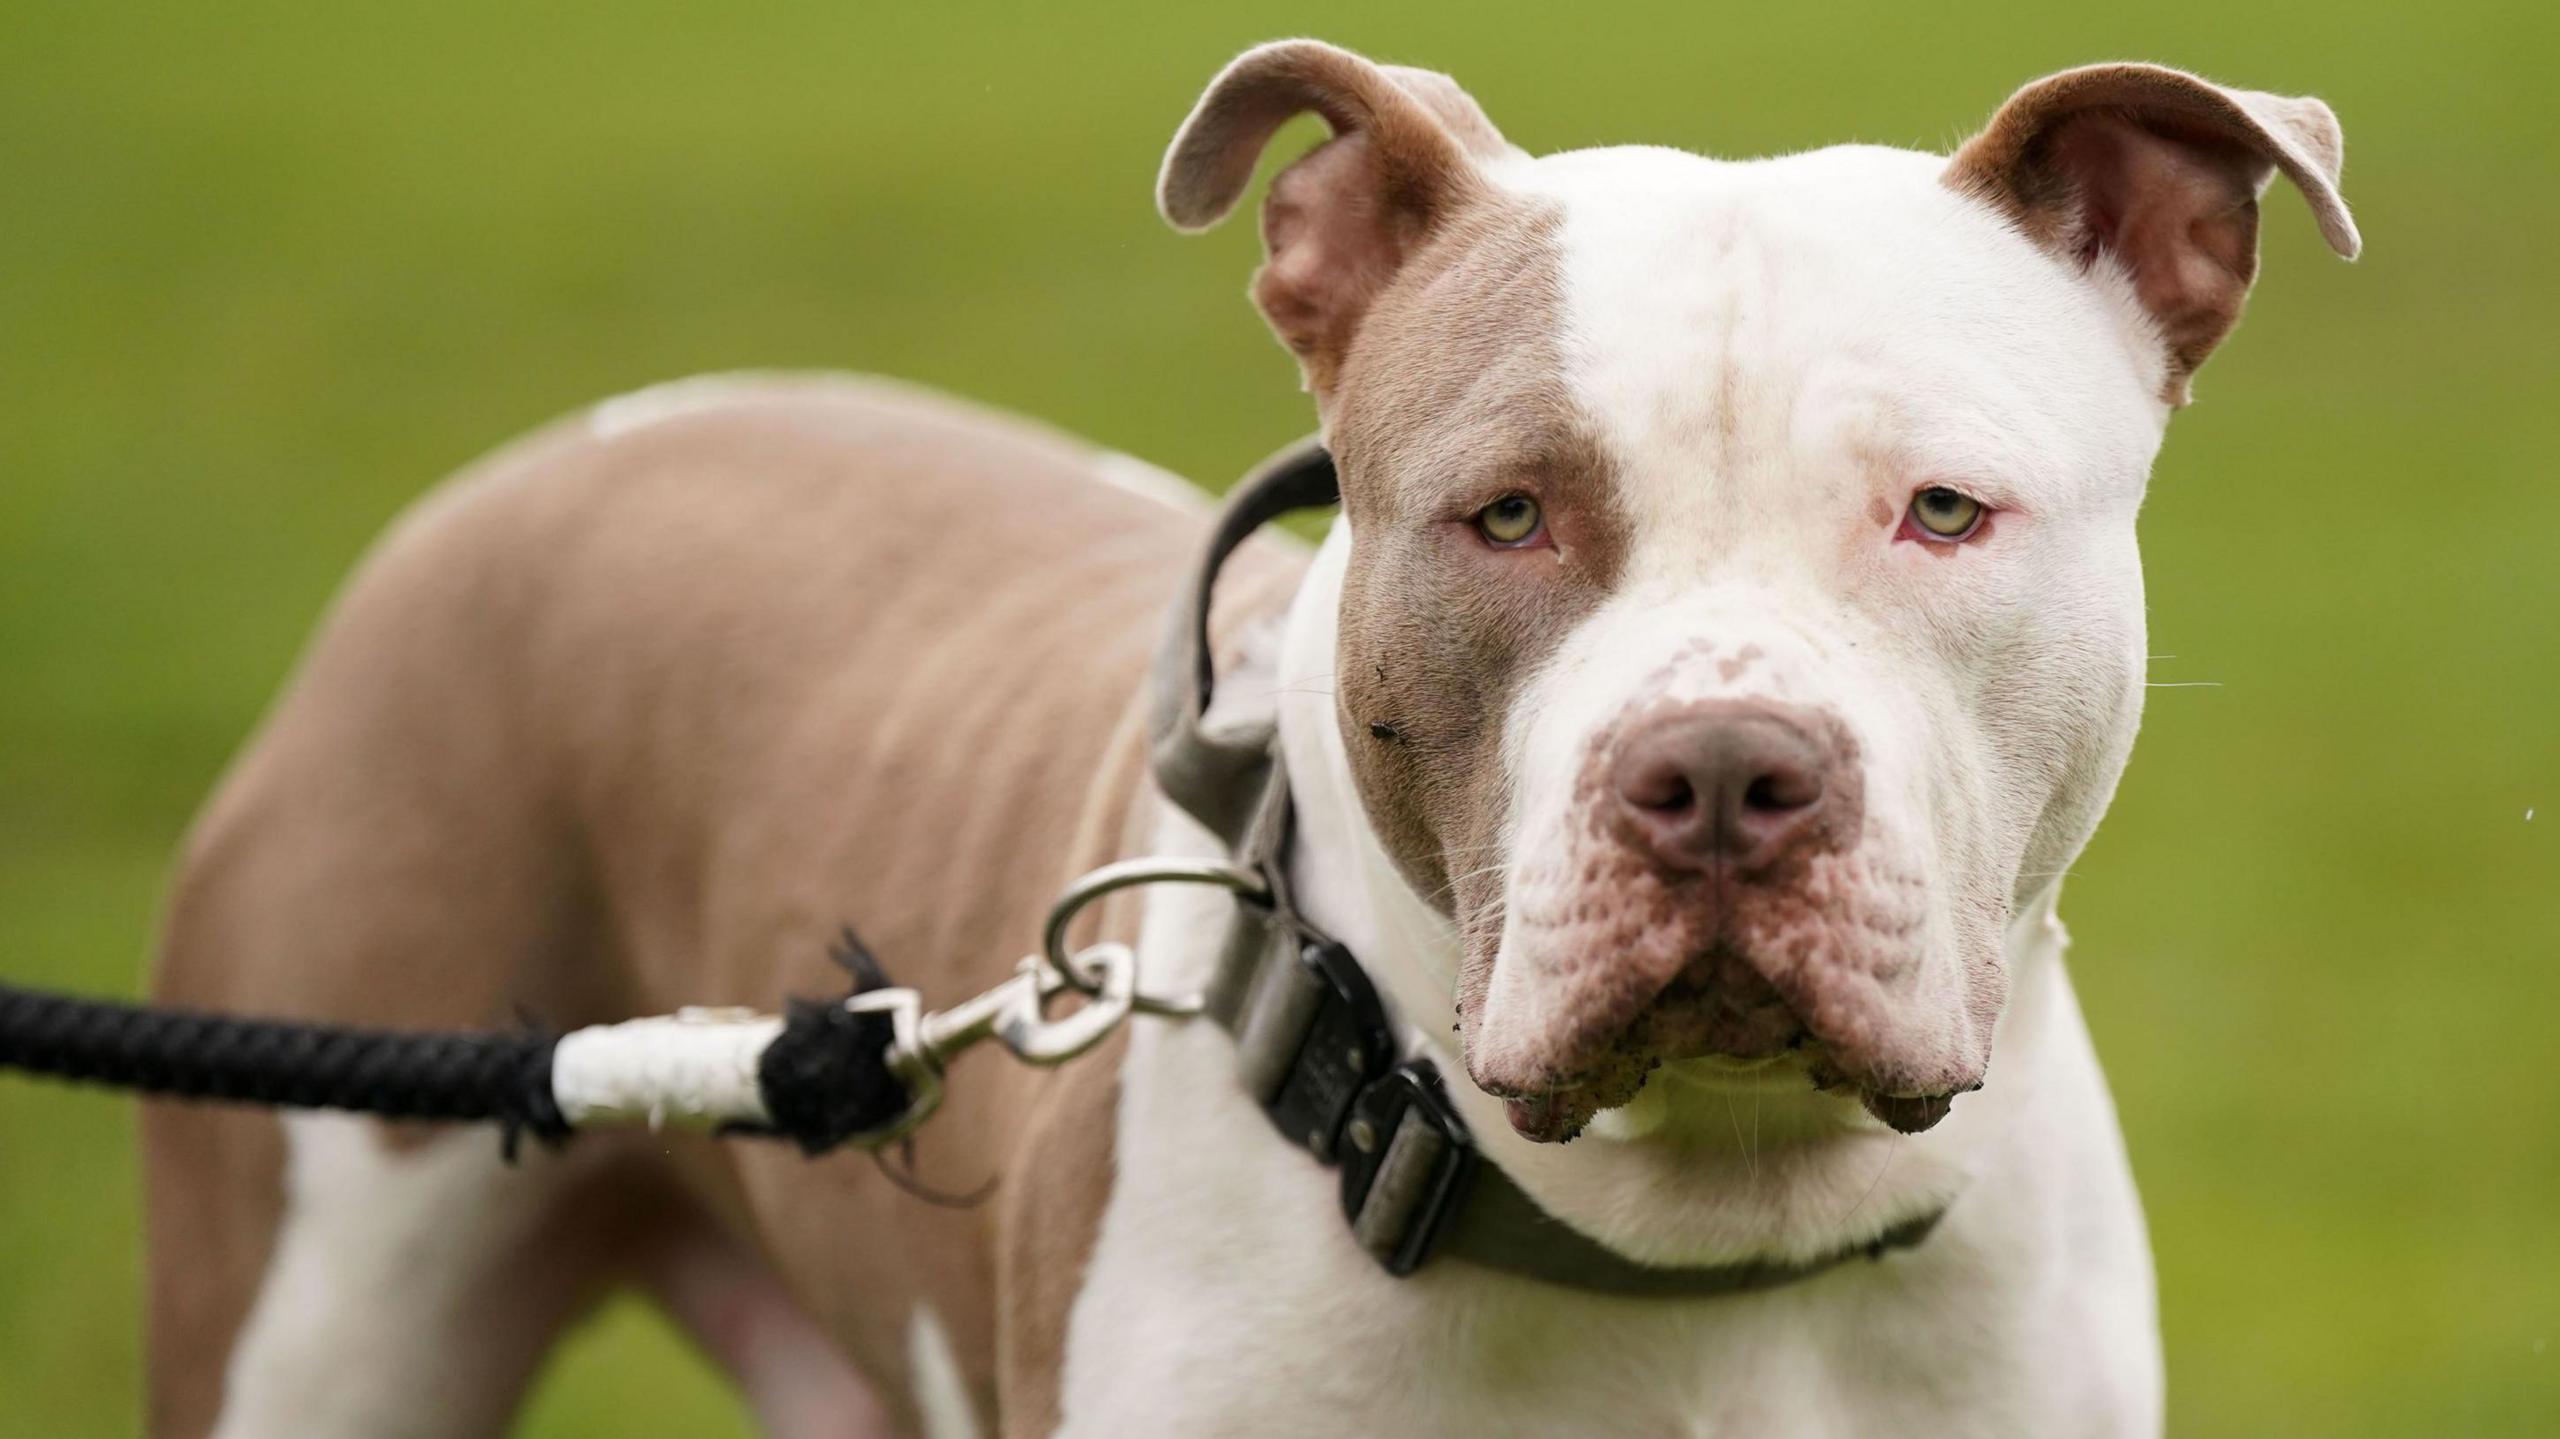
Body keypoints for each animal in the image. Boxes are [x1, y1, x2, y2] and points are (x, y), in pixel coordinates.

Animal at [135, 36, 2344, 1433]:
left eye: (1941, 510)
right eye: (1506, 514)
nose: (1720, 774)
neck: (1700, 1241)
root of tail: (553, 455)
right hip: (318, 1296)